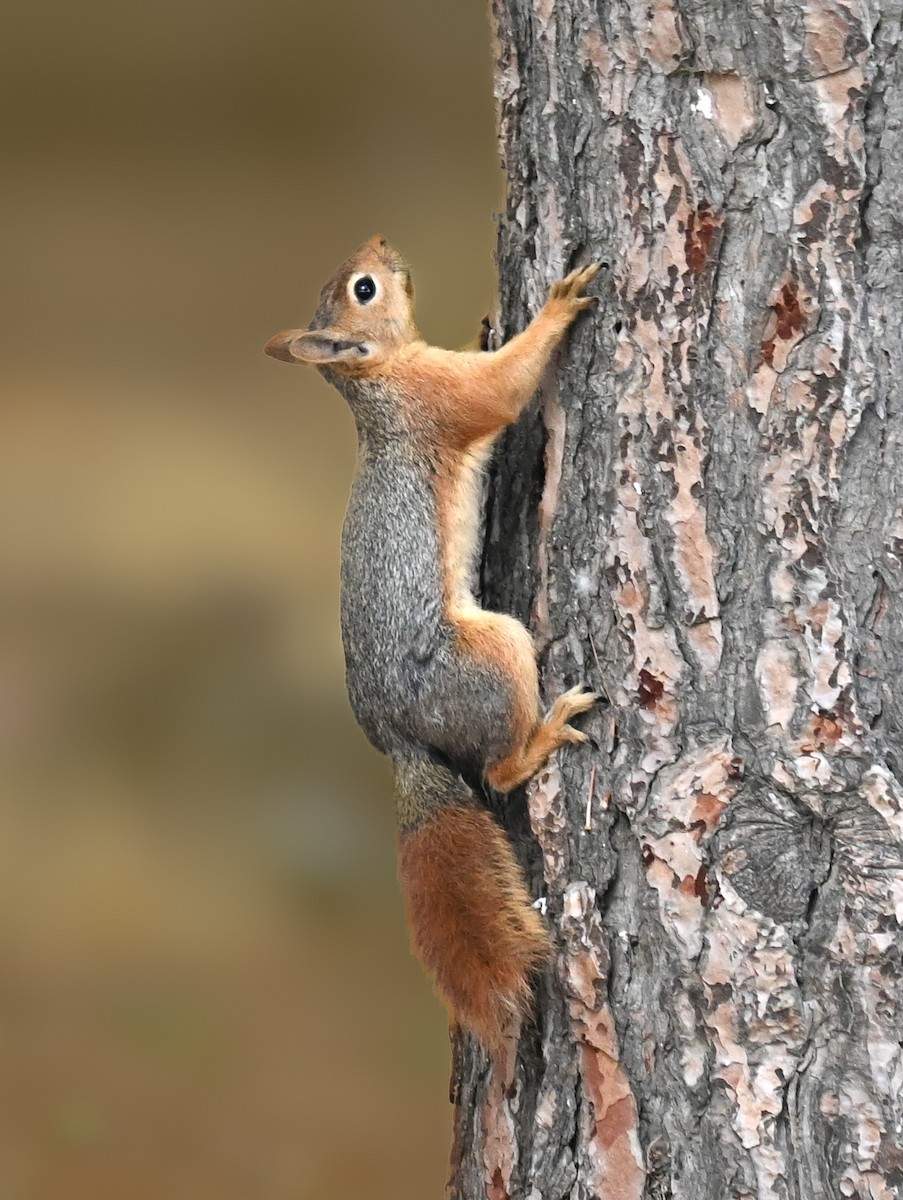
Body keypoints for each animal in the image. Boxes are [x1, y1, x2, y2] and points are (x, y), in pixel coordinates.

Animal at [264, 236, 599, 1049]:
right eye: (365, 289)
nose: (382, 245)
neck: (378, 381)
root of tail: (399, 738)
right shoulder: (444, 398)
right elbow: (503, 387)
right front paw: (556, 306)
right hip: (492, 651)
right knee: (502, 774)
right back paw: (546, 733)